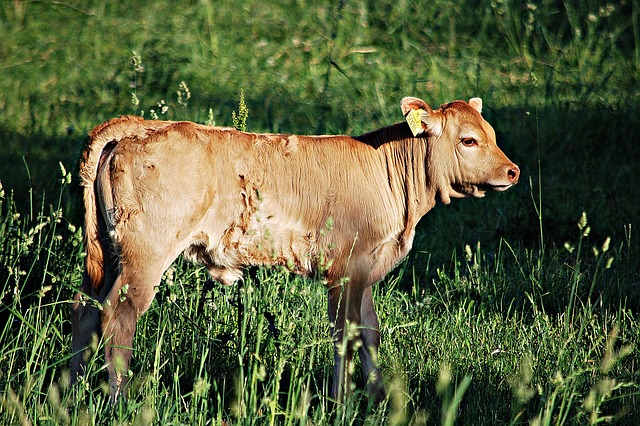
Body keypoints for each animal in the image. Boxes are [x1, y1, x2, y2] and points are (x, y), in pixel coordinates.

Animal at [71, 96, 520, 402]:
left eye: (493, 135)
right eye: (469, 140)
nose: (512, 170)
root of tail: (139, 128)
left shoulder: (366, 269)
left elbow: (370, 331)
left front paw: (376, 399)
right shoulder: (345, 269)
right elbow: (345, 334)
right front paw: (341, 403)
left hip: (109, 253)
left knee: (84, 311)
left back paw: (70, 391)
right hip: (145, 255)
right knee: (118, 317)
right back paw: (120, 400)